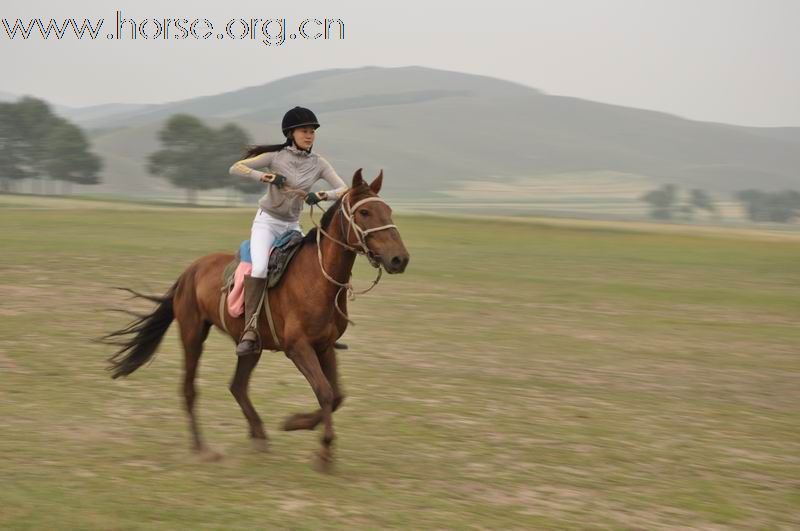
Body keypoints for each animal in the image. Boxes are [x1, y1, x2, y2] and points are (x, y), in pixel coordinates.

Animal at [103, 169, 410, 470]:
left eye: (388, 210)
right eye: (365, 213)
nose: (400, 259)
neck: (319, 279)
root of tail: (190, 271)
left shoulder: (324, 346)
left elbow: (336, 395)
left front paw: (296, 425)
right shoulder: (298, 348)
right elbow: (324, 391)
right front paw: (320, 448)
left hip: (250, 346)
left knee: (237, 386)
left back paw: (258, 434)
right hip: (192, 334)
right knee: (190, 389)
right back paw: (202, 448)